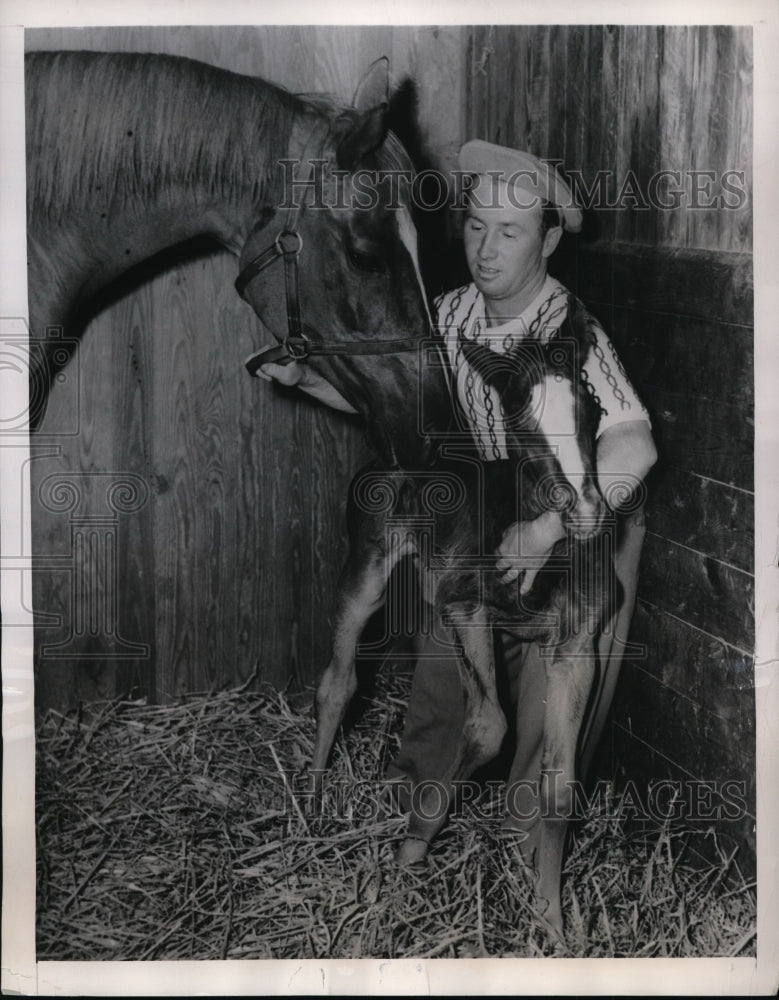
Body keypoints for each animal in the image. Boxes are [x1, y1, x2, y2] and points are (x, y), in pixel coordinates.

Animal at [314, 292, 612, 932]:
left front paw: (551, 921)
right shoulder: (464, 607)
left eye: (594, 409)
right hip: (367, 568)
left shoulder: (576, 648)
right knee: (338, 681)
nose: (586, 514)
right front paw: (407, 860)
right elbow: (488, 727)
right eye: (520, 420)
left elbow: (560, 783)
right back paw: (309, 803)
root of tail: (396, 446)